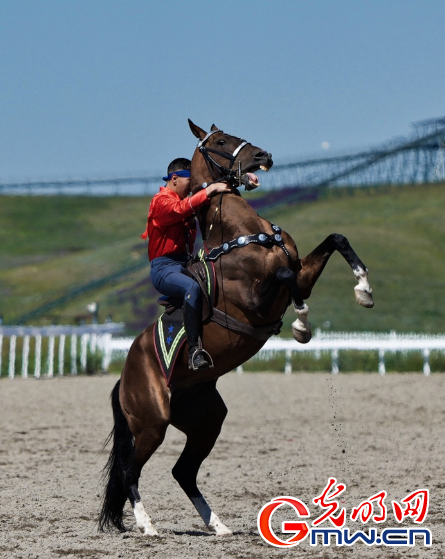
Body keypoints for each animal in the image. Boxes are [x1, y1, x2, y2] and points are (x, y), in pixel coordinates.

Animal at [99, 121, 372, 540]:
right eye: (220, 141)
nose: (264, 156)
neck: (241, 231)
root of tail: (124, 377)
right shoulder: (258, 301)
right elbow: (286, 277)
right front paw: (301, 325)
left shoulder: (303, 275)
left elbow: (334, 241)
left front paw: (363, 289)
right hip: (151, 424)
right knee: (132, 471)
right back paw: (148, 525)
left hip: (207, 421)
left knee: (183, 471)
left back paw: (219, 525)